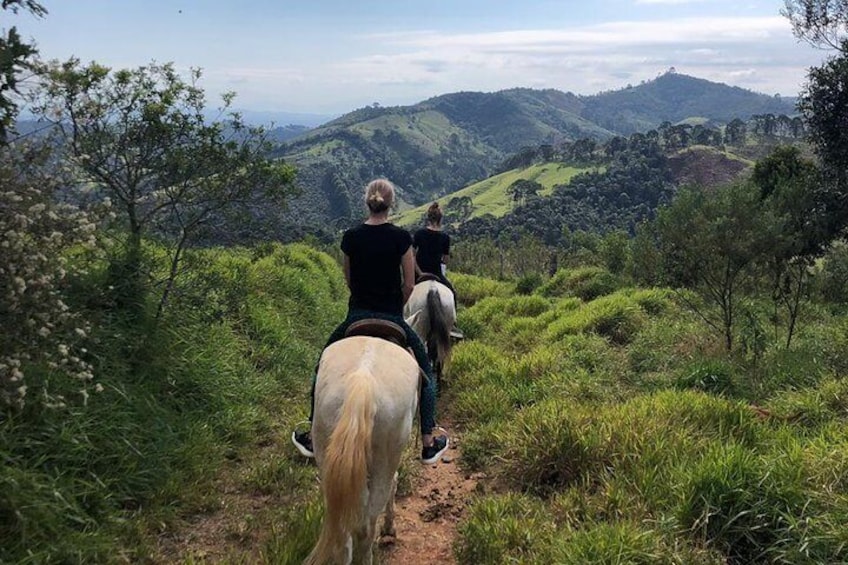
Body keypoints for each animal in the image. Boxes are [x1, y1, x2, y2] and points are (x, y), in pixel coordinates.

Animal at [308, 334, 420, 564]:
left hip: (325, 452)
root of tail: (363, 382)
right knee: (366, 526)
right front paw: (389, 529)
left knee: (343, 528)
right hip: (384, 460)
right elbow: (395, 482)